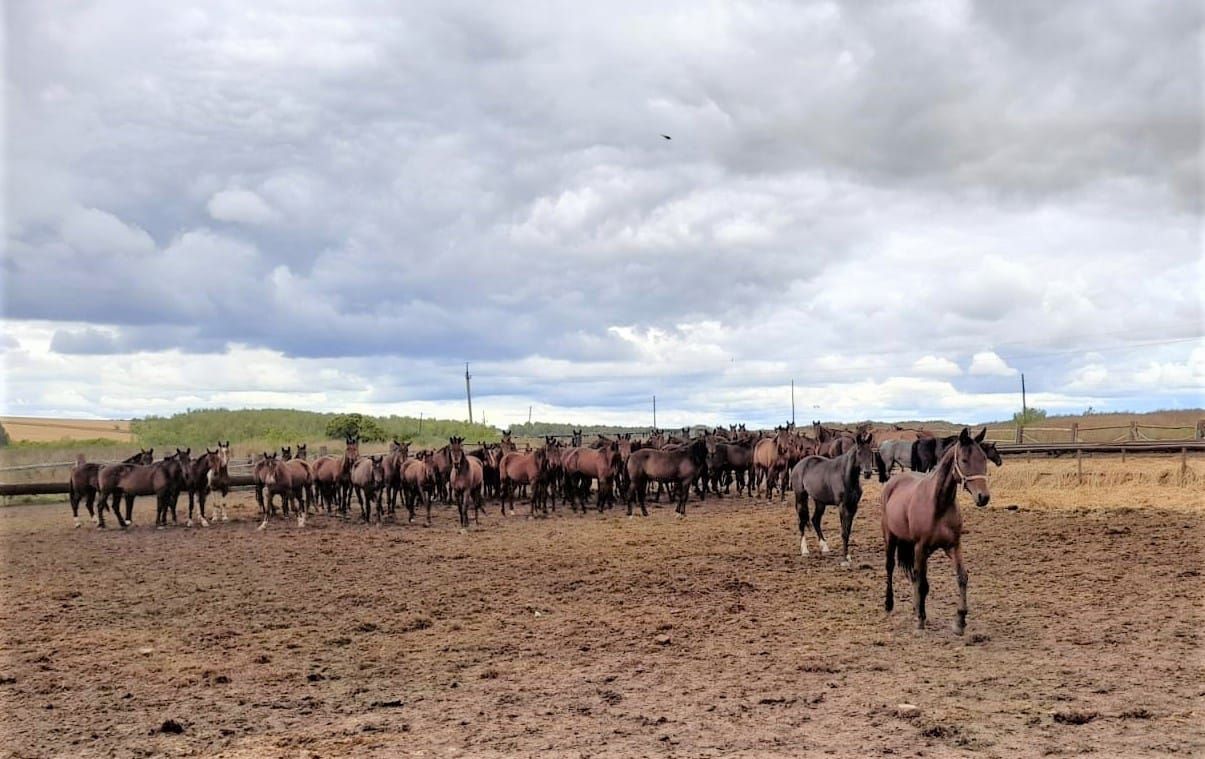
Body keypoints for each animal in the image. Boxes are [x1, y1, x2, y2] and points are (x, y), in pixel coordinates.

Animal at [790, 431, 877, 568]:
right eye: (859, 452)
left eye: (870, 452)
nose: (867, 473)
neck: (846, 477)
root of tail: (798, 465)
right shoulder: (842, 506)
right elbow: (843, 532)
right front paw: (844, 560)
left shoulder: (853, 506)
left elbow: (848, 531)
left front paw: (848, 557)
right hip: (800, 498)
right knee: (802, 521)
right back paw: (804, 550)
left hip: (819, 502)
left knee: (815, 520)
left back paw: (824, 547)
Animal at [886, 428, 988, 636]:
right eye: (964, 460)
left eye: (983, 458)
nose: (984, 497)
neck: (938, 504)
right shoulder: (921, 547)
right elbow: (923, 583)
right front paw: (921, 620)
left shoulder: (953, 546)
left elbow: (962, 577)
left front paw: (960, 621)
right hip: (890, 537)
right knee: (891, 567)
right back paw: (889, 605)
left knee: (913, 575)